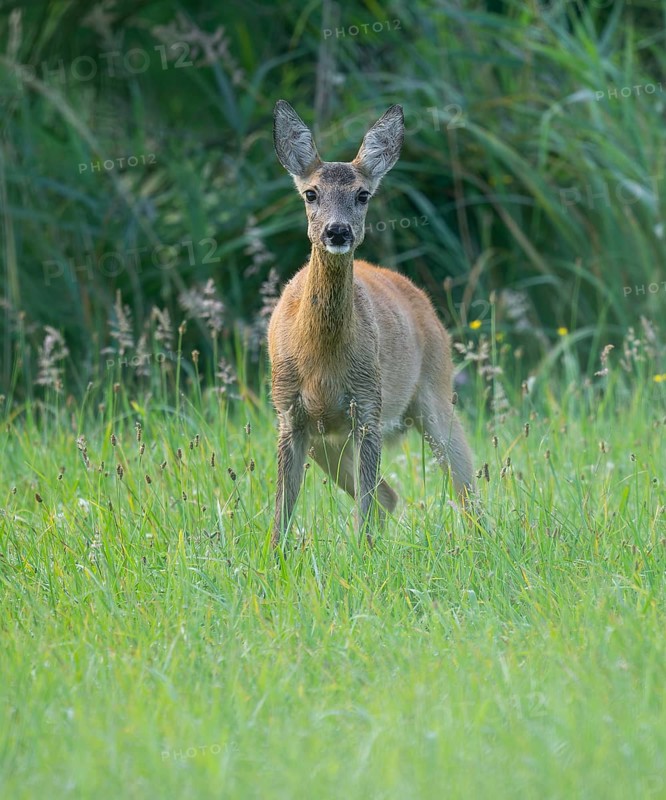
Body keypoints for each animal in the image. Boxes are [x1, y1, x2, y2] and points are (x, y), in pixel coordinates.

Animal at [268, 99, 475, 547]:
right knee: (389, 496)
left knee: (465, 485)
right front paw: (272, 557)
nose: (337, 231)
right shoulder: (288, 413)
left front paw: (362, 554)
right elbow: (282, 511)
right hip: (328, 442)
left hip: (435, 391)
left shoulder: (368, 408)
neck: (321, 360)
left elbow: (362, 503)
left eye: (362, 195)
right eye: (311, 193)